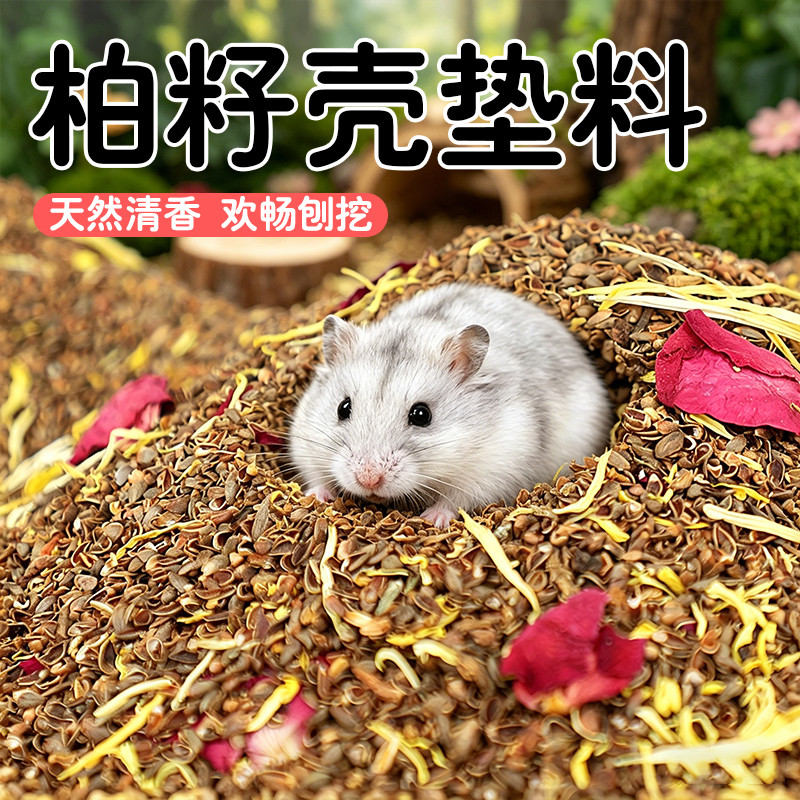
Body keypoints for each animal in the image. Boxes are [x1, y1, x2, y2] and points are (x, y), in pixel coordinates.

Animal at [288, 282, 612, 527]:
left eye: (422, 415)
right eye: (342, 408)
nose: (368, 479)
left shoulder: (497, 468)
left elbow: (457, 500)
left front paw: (431, 518)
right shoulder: (304, 443)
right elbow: (316, 475)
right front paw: (316, 496)